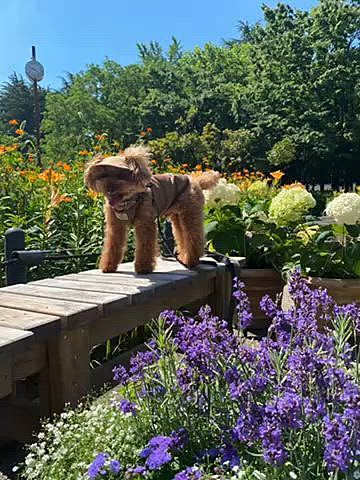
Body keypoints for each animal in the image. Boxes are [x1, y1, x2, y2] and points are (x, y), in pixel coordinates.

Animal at [85, 146, 219, 274]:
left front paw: (143, 268)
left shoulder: (145, 223)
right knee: (182, 237)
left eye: (120, 175)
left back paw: (191, 261)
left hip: (190, 213)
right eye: (103, 175)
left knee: (194, 237)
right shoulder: (115, 226)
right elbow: (112, 245)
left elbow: (145, 246)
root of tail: (194, 180)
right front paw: (108, 267)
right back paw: (185, 258)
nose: (109, 189)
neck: (128, 201)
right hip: (177, 217)